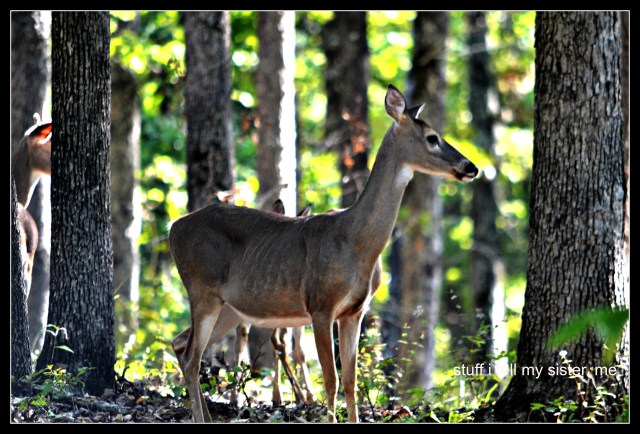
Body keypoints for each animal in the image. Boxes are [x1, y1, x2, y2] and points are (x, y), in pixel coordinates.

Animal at [169, 85, 478, 423]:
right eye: (432, 137)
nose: (471, 167)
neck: (357, 242)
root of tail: (174, 228)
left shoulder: (355, 311)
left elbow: (351, 381)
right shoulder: (320, 305)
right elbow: (331, 381)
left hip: (230, 306)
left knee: (181, 343)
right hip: (202, 288)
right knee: (191, 358)